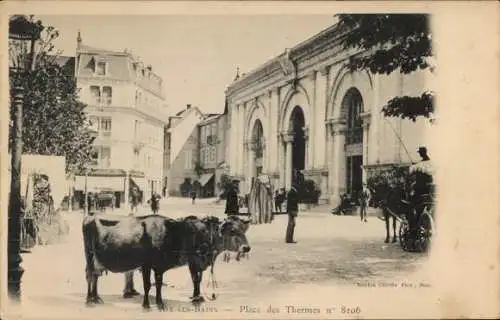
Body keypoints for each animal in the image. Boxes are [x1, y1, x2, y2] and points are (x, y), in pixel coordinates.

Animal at [84, 212, 254, 310]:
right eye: (233, 231)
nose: (246, 248)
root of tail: (90, 216)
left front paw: (161, 303)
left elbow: (160, 284)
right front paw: (147, 305)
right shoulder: (149, 264)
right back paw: (89, 300)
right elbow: (149, 285)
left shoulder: (161, 266)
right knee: (90, 276)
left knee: (95, 276)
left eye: (244, 230)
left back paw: (97, 298)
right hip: (90, 256)